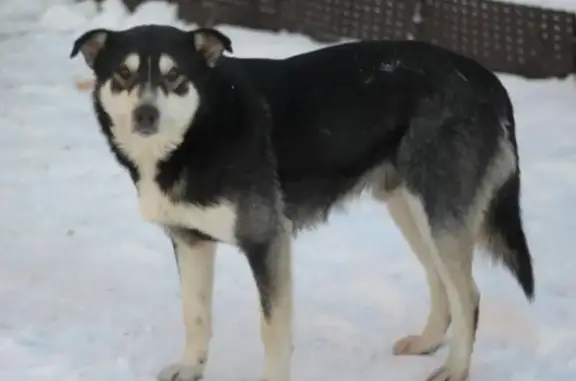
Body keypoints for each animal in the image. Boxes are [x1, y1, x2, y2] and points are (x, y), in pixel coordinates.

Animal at [71, 24, 536, 380]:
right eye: (123, 74)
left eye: (175, 77)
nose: (145, 115)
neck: (200, 130)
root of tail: (486, 76)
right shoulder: (191, 241)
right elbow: (195, 314)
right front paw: (191, 368)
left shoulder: (267, 241)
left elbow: (273, 330)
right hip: (412, 209)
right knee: (440, 282)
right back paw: (427, 342)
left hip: (439, 212)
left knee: (468, 295)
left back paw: (455, 368)